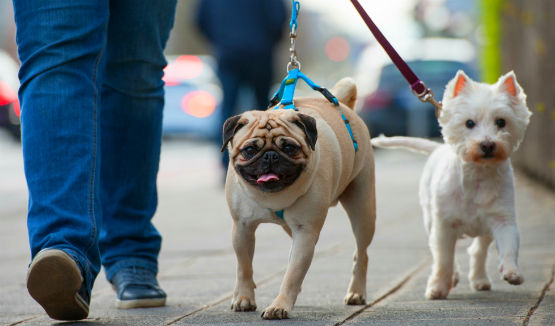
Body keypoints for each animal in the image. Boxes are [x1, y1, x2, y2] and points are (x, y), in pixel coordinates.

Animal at [372, 70, 532, 300]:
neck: (478, 175)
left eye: (501, 122)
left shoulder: (503, 218)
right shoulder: (444, 225)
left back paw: (480, 280)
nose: (487, 144)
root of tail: (438, 148)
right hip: (430, 218)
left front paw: (512, 273)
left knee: (478, 251)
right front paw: (438, 287)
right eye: (469, 123)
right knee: (442, 252)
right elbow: (444, 260)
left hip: (484, 229)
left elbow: (510, 245)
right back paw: (454, 278)